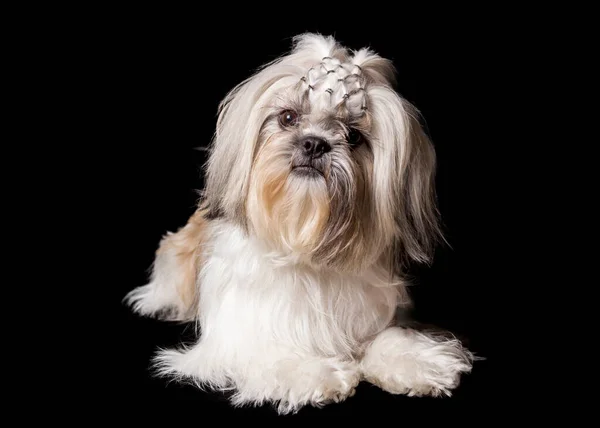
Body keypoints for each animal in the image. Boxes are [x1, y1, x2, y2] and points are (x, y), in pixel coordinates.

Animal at [125, 32, 474, 414]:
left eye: (354, 136)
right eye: (288, 117)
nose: (314, 143)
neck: (303, 240)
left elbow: (387, 339)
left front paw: (415, 362)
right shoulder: (237, 336)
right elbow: (270, 352)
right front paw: (315, 373)